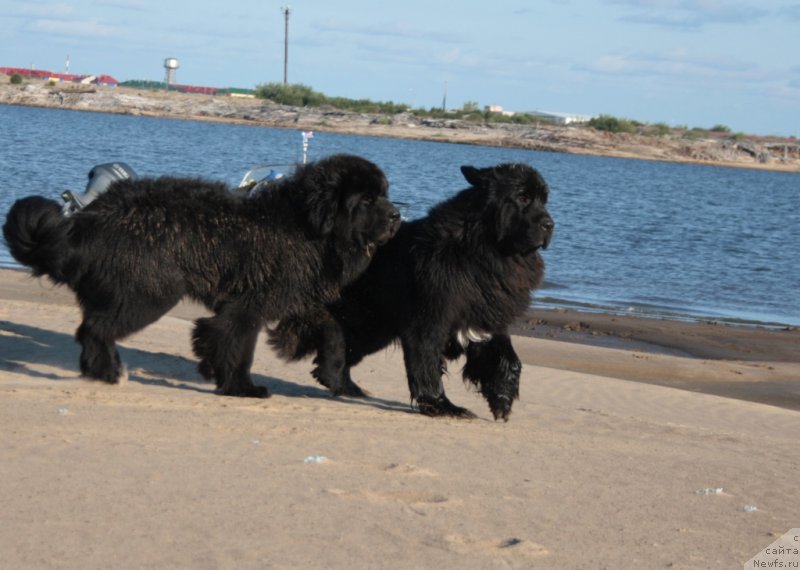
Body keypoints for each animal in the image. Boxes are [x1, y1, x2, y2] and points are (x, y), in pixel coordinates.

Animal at [0, 153, 400, 398]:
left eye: (384, 194)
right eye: (366, 200)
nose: (397, 216)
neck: (306, 226)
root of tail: (90, 218)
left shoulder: (293, 296)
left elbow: (333, 331)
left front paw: (336, 377)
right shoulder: (249, 305)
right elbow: (237, 345)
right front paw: (242, 387)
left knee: (92, 329)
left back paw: (100, 369)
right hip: (153, 293)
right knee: (94, 329)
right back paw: (108, 371)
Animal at [272, 162, 552, 420]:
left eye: (544, 200)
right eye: (522, 198)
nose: (549, 224)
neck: (485, 250)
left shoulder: (486, 318)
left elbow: (509, 360)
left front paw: (502, 400)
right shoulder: (429, 322)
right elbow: (426, 365)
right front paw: (443, 406)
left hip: (374, 327)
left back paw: (346, 385)